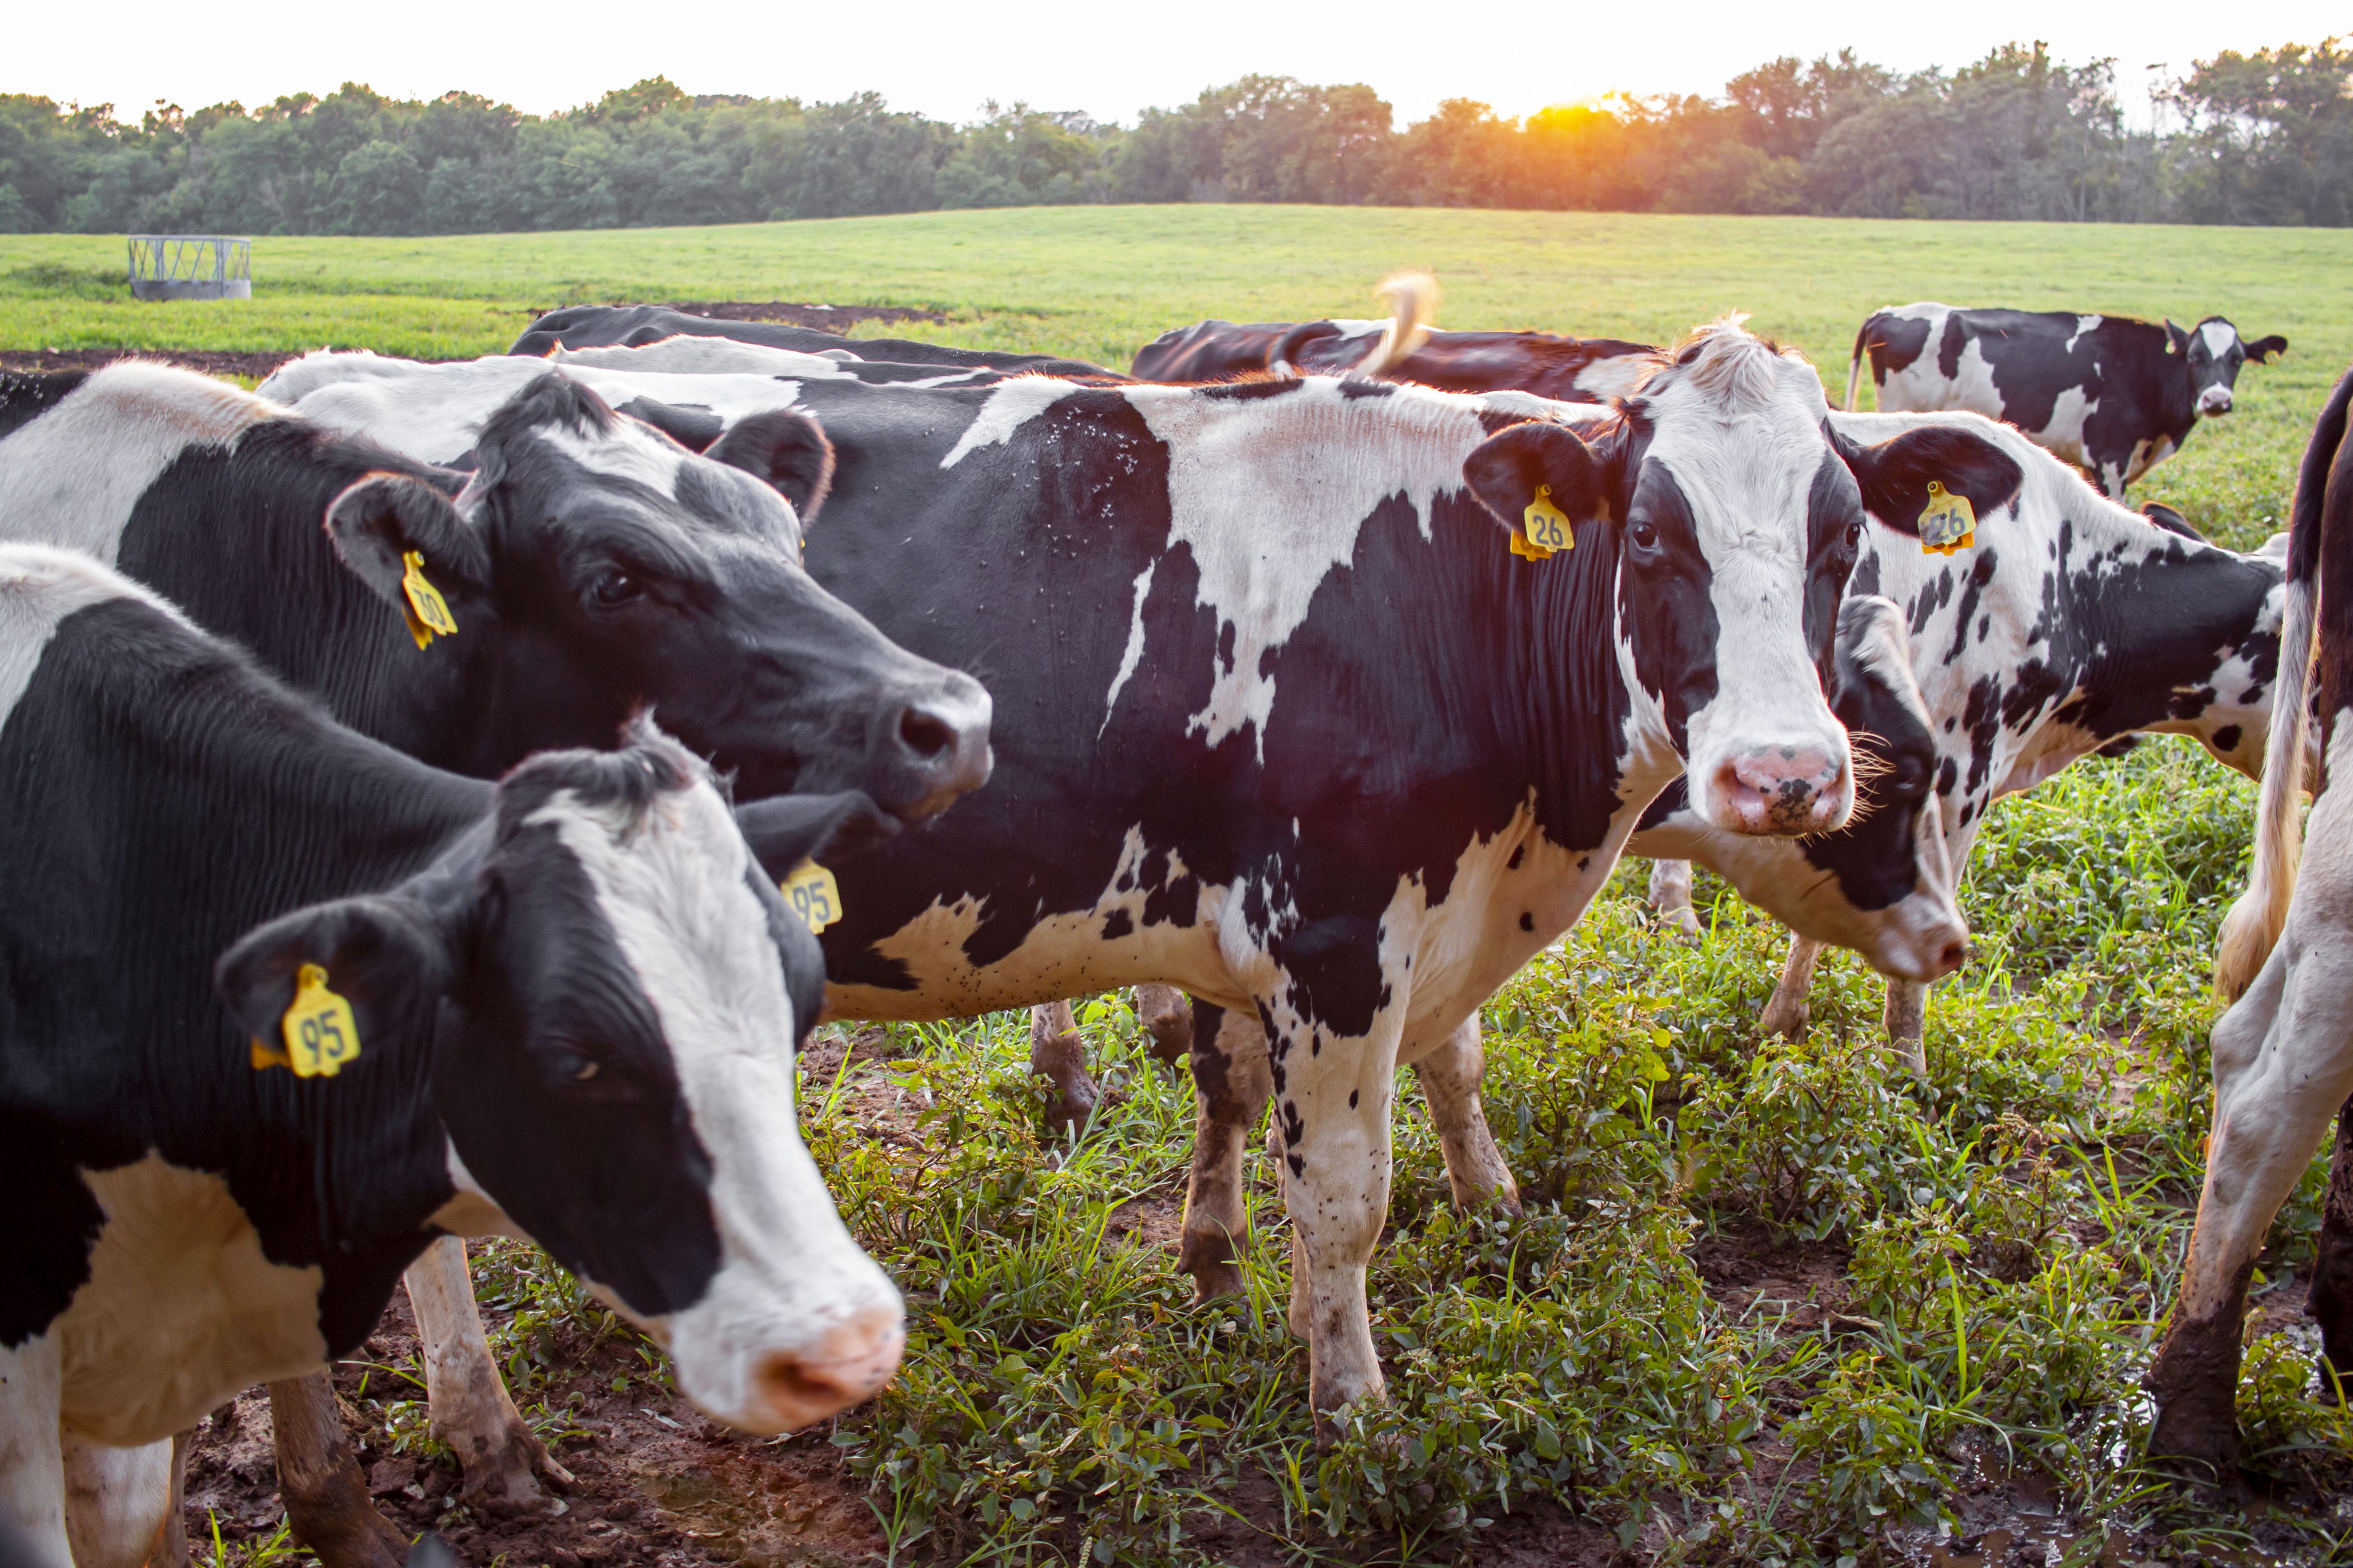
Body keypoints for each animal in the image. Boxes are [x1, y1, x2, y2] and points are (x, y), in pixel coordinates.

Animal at [275, 322, 2033, 1457]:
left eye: (1836, 538)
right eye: (1653, 538)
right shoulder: (1337, 931)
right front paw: (1353, 1407)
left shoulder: (1324, 928)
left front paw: (1225, 1253)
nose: (1787, 771)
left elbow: (1275, 1087)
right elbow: (1347, 1196)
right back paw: (480, 1423)